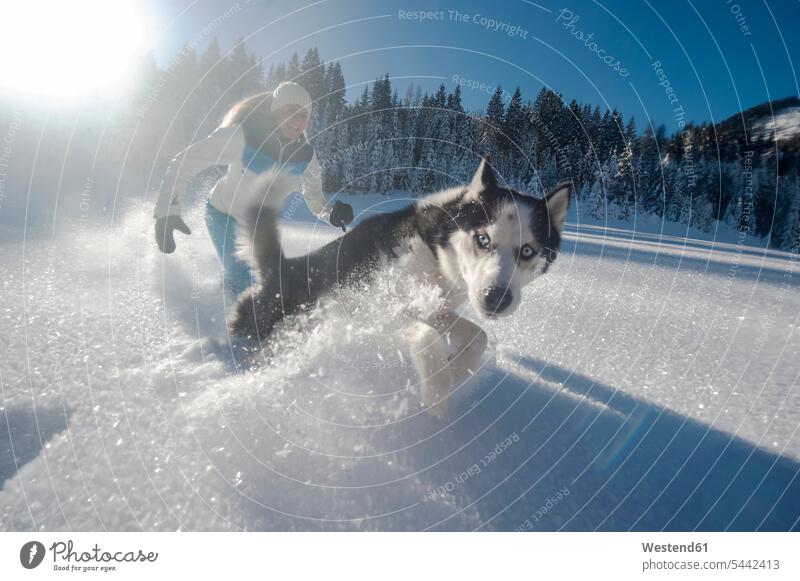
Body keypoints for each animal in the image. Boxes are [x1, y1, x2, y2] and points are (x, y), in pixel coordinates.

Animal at [230, 159, 568, 412]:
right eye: (483, 239)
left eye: (528, 251)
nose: (496, 298)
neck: (435, 252)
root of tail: (284, 267)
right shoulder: (370, 308)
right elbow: (427, 336)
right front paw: (437, 392)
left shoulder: (436, 309)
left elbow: (478, 336)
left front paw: (456, 368)